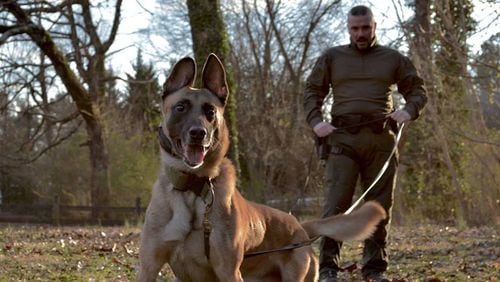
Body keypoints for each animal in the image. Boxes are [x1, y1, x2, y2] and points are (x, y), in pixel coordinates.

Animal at [135, 54, 384, 280]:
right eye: (180, 107)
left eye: (210, 111)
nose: (198, 133)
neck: (192, 187)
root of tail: (300, 227)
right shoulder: (149, 267)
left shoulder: (228, 271)